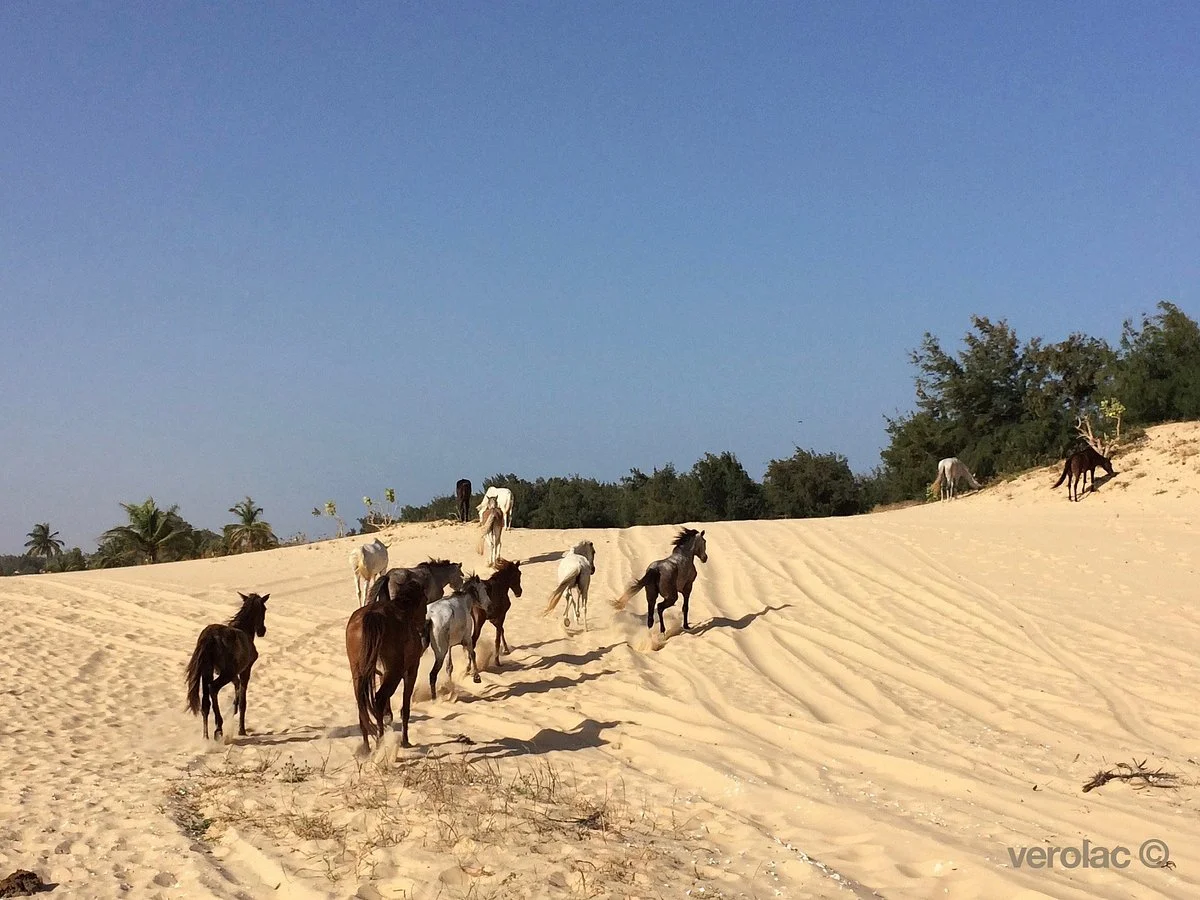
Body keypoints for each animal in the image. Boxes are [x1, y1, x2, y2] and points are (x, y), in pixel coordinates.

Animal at [185, 592, 269, 741]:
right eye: (264, 609)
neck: (245, 629)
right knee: (213, 688)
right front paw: (242, 730)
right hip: (225, 673)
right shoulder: (245, 670)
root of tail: (209, 638)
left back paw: (205, 737)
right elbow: (243, 701)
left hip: (207, 670)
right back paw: (218, 728)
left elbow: (237, 688)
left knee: (205, 703)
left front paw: (234, 708)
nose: (262, 631)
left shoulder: (232, 673)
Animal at [346, 578, 428, 752]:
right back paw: (381, 742)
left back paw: (366, 747)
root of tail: (372, 615)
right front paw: (405, 741)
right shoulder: (411, 670)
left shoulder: (382, 674)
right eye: (425, 599)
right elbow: (405, 707)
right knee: (378, 700)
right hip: (394, 674)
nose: (424, 623)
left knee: (362, 704)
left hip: (358, 674)